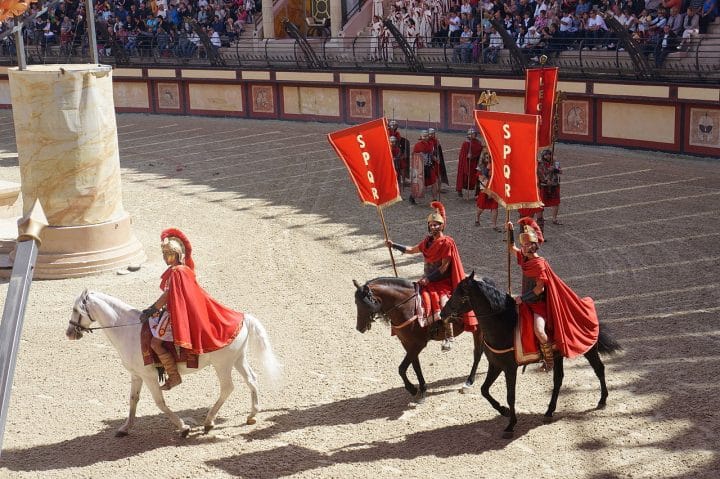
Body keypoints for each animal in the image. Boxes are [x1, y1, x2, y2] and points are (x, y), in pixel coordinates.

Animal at [65, 288, 278, 438]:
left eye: (76, 310)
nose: (69, 333)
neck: (128, 330)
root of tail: (242, 318)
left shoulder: (149, 376)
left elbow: (160, 403)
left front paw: (183, 427)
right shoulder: (136, 375)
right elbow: (133, 400)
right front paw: (125, 428)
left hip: (223, 364)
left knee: (227, 388)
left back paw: (209, 421)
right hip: (238, 359)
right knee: (252, 380)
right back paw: (252, 414)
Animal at [350, 276, 484, 404]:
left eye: (363, 304)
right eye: (356, 303)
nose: (359, 328)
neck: (406, 306)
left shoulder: (418, 344)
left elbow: (402, 369)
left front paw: (413, 389)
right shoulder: (407, 343)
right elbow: (415, 367)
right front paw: (422, 390)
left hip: (478, 330)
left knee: (478, 353)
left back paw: (468, 383)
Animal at [438, 272, 620, 436]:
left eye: (461, 295)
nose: (442, 313)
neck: (504, 324)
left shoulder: (510, 368)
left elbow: (510, 395)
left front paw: (511, 425)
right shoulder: (495, 365)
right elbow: (484, 390)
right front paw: (503, 411)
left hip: (588, 349)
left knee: (599, 369)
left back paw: (602, 400)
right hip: (558, 356)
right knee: (558, 379)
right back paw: (549, 411)